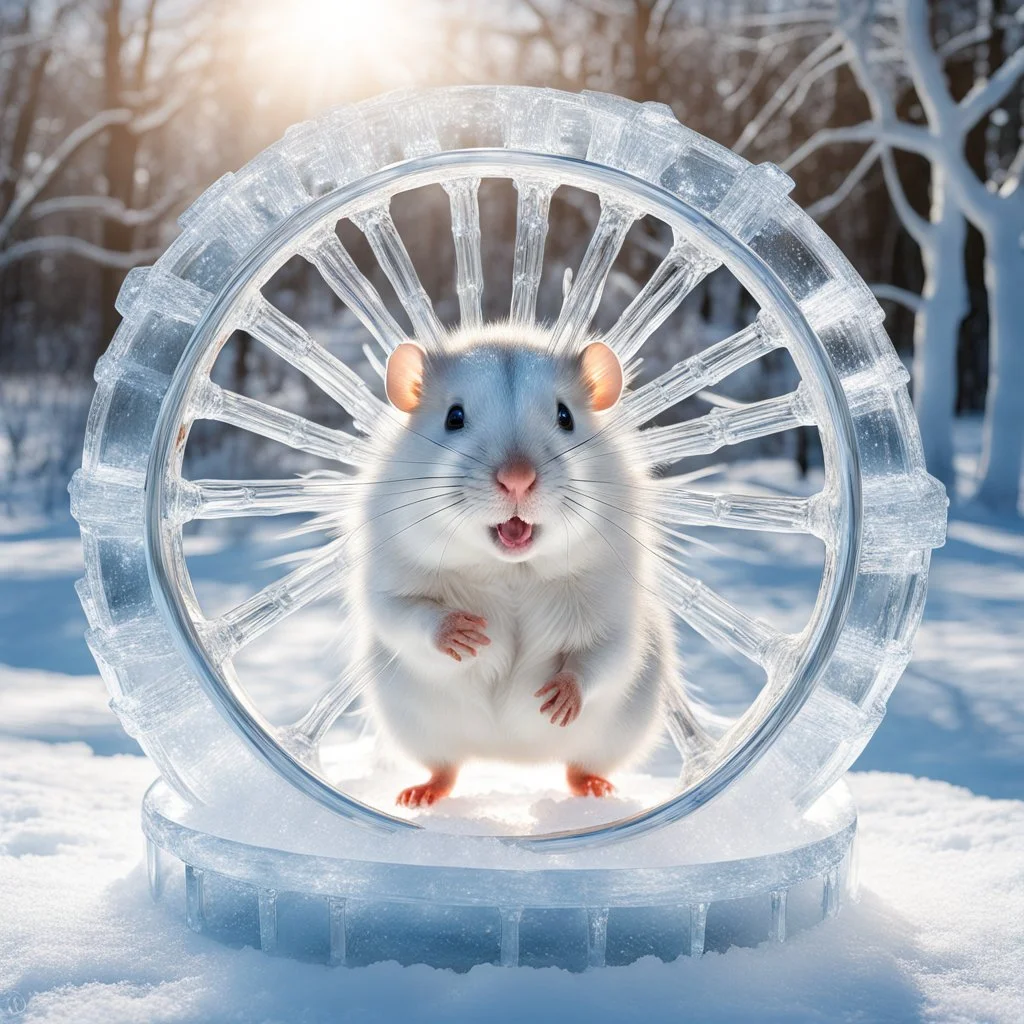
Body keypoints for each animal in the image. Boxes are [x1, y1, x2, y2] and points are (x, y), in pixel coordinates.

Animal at [344, 319, 704, 806]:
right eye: (453, 417)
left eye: (565, 416)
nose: (517, 479)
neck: (511, 568)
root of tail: (508, 758)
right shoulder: (390, 579)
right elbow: (404, 614)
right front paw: (461, 634)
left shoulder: (617, 611)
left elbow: (604, 656)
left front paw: (561, 696)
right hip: (419, 729)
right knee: (446, 767)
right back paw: (420, 793)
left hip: (617, 735)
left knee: (578, 765)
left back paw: (595, 788)